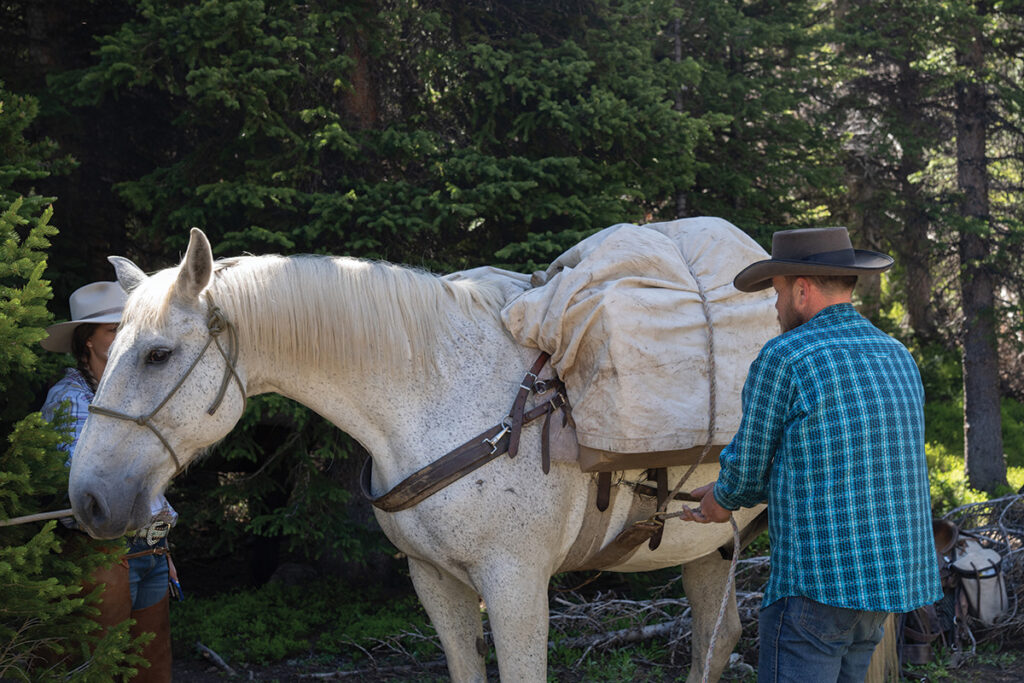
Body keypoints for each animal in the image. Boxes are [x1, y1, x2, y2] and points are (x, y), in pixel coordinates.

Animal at [68, 227, 769, 682]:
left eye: (158, 354)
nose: (90, 499)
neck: (437, 395)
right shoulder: (435, 582)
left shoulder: (516, 584)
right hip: (708, 543)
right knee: (717, 641)